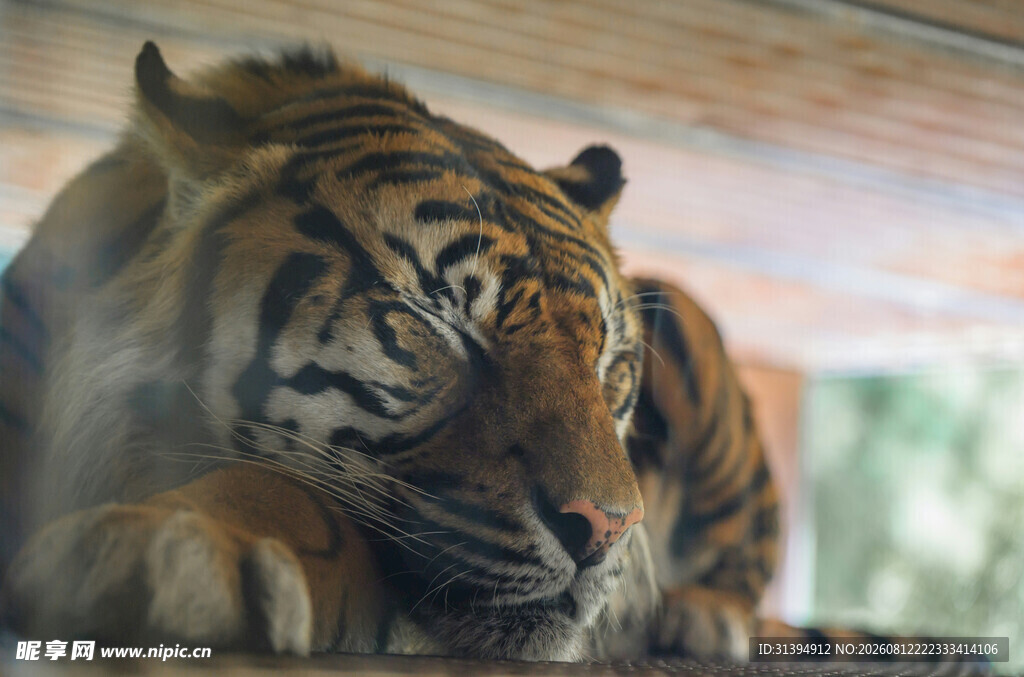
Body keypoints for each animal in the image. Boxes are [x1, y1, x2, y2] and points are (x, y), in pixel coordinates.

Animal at [0, 42, 907, 664]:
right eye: (439, 326)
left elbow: (292, 494)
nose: (609, 527)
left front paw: (169, 551)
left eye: (610, 366)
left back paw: (702, 616)